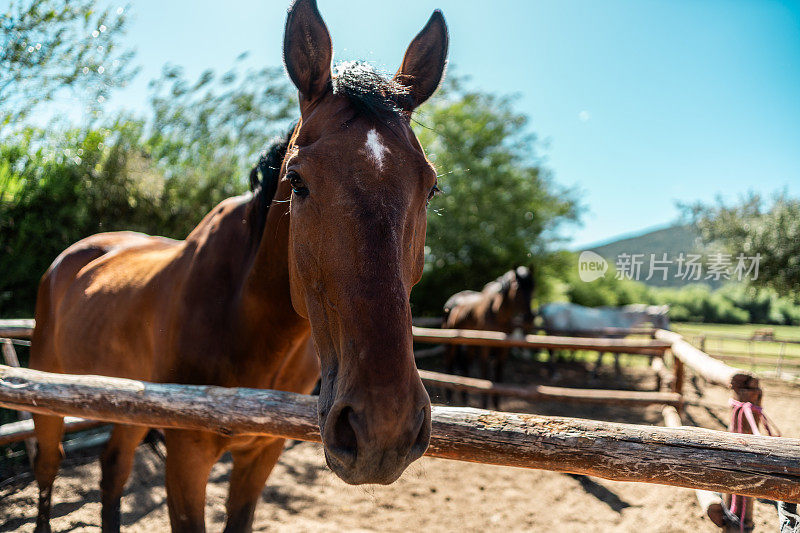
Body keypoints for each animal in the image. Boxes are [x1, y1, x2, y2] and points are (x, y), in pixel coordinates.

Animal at [28, 2, 446, 528]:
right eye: (297, 181)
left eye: (430, 187)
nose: (384, 429)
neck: (243, 319)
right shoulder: (186, 455)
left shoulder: (261, 453)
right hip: (47, 396)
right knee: (48, 469)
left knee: (112, 470)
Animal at [440, 266, 536, 408]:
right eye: (517, 288)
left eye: (533, 287)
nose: (529, 319)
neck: (497, 312)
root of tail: (451, 302)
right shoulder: (485, 347)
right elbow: (485, 376)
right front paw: (484, 405)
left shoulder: (503, 350)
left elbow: (498, 377)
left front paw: (496, 407)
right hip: (451, 342)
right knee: (449, 362)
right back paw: (449, 396)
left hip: (469, 345)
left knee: (465, 364)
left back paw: (464, 399)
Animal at [540, 304, 672, 374]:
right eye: (662, 318)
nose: (669, 329)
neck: (619, 318)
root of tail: (546, 307)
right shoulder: (608, 339)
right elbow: (608, 357)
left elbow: (610, 357)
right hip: (555, 333)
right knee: (551, 351)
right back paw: (554, 373)